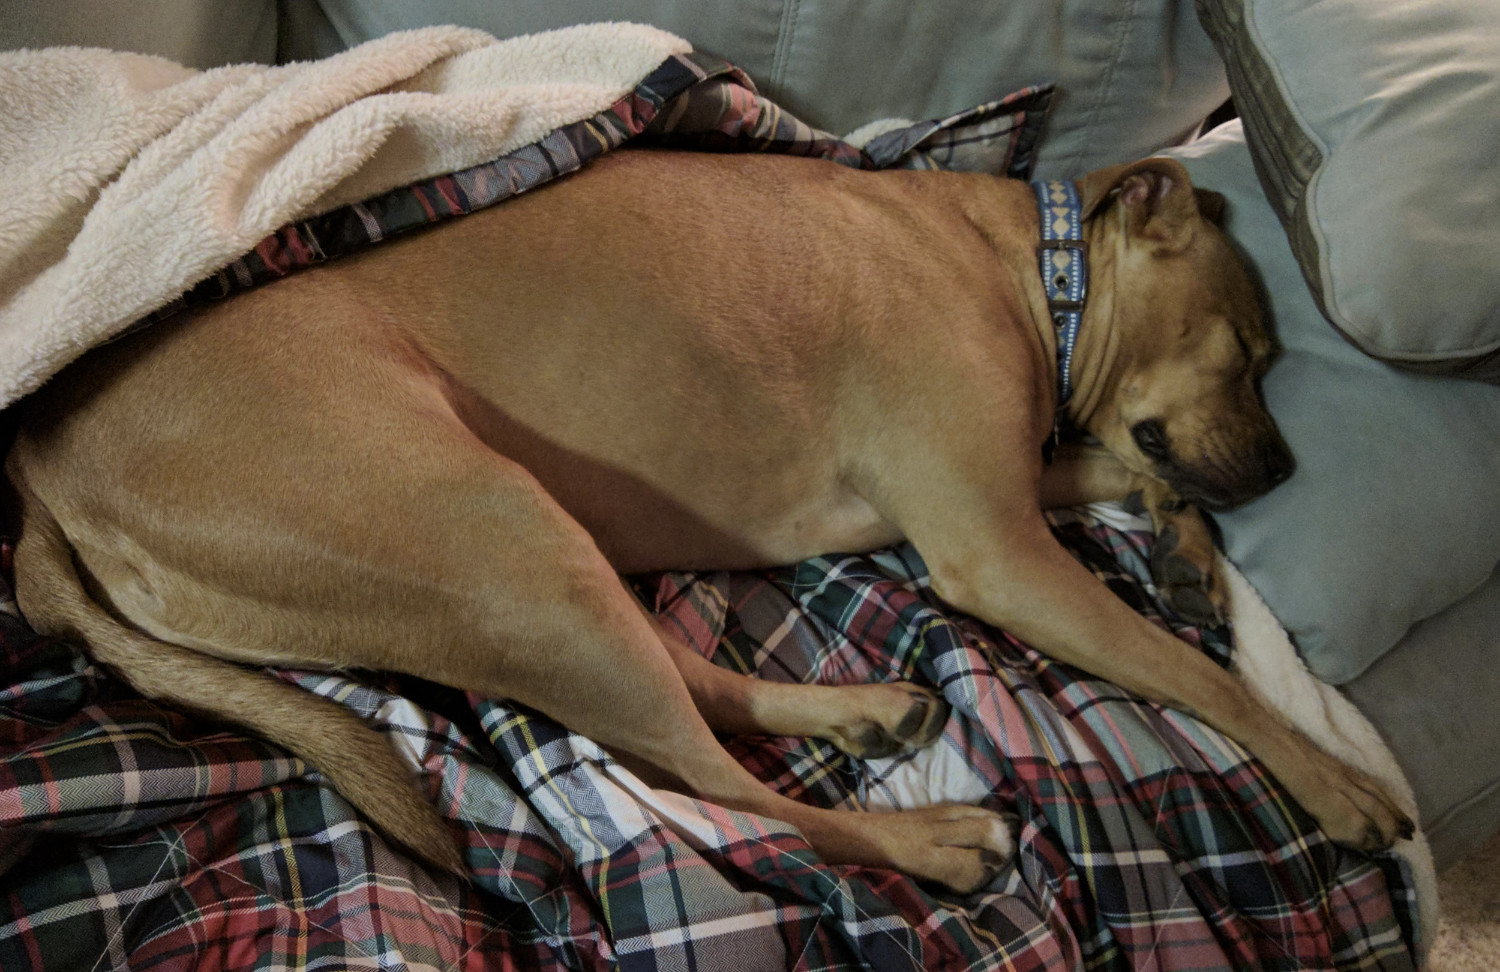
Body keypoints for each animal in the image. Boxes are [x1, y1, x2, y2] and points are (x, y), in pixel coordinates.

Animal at [2, 150, 1404, 888]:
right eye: (1253, 350)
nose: (1284, 466)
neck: (1031, 269)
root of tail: (45, 472)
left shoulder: (1009, 494)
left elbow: (1124, 468)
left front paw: (1183, 543)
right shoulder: (995, 548)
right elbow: (1198, 676)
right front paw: (1337, 785)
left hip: (536, 565)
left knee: (696, 698)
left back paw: (863, 713)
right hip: (495, 534)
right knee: (711, 781)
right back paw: (936, 838)